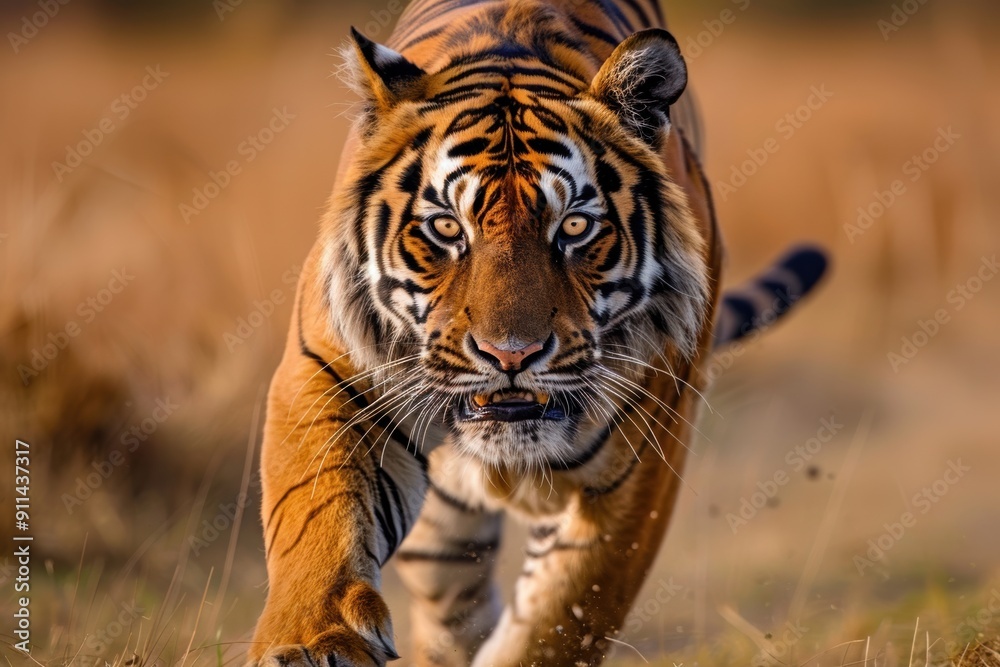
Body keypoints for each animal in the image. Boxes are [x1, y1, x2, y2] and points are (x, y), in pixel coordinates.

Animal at [248, 0, 827, 665]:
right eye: (447, 228)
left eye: (574, 227)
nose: (510, 355)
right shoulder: (331, 371)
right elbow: (315, 508)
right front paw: (310, 641)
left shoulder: (643, 457)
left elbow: (564, 612)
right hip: (440, 533)